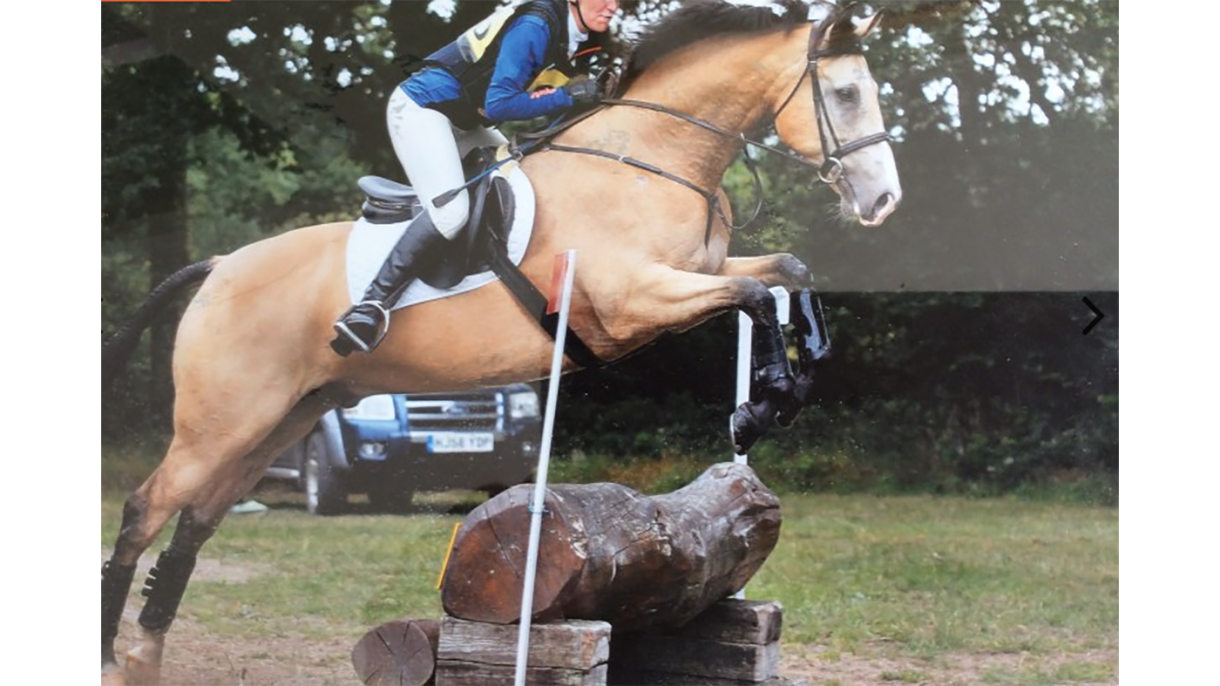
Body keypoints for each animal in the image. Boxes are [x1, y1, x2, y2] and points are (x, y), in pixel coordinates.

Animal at [100, 2, 900, 683]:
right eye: (846, 94)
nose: (883, 201)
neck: (653, 158)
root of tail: (217, 267)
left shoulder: (697, 273)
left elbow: (788, 273)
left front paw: (781, 395)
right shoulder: (634, 300)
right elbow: (758, 296)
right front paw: (757, 409)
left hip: (282, 417)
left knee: (196, 521)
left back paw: (145, 655)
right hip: (221, 421)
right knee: (145, 509)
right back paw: (114, 652)